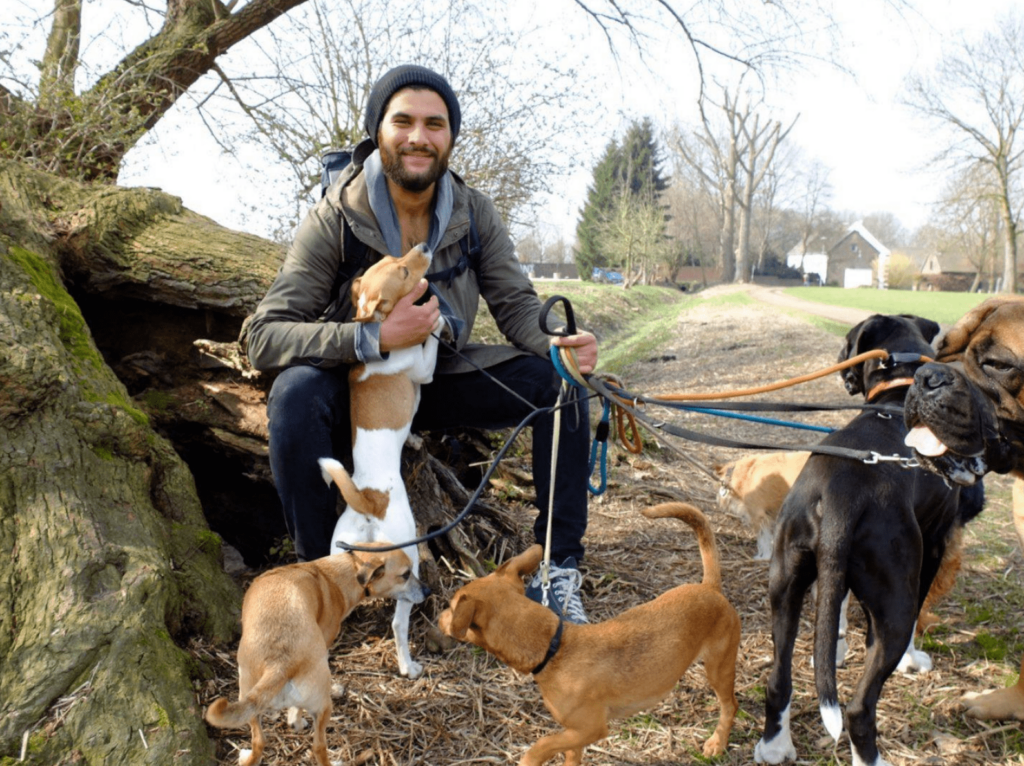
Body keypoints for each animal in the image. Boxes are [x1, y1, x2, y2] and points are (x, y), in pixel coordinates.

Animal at [203, 544, 428, 766]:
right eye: (406, 574)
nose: (428, 590)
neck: (343, 572)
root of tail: (279, 664)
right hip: (322, 707)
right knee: (318, 747)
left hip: (248, 702)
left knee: (259, 742)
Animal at [315, 242, 436, 679]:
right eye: (403, 272)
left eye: (391, 258)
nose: (423, 246)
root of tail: (367, 499)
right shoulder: (423, 367)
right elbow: (430, 348)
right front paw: (438, 317)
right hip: (408, 559)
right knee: (400, 622)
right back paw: (407, 664)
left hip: (338, 555)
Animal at [436, 501, 741, 766]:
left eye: (451, 607)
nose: (438, 617)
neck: (554, 647)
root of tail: (710, 588)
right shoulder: (574, 734)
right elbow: (569, 756)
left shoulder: (591, 729)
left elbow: (541, 745)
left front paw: (528, 760)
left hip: (719, 668)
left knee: (731, 705)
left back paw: (717, 743)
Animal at [757, 313, 970, 766]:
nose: (841, 362)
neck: (896, 394)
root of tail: (842, 495)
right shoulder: (933, 544)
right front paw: (912, 660)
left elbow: (835, 617)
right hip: (895, 603)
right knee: (858, 707)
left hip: (785, 584)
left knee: (778, 681)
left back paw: (774, 746)